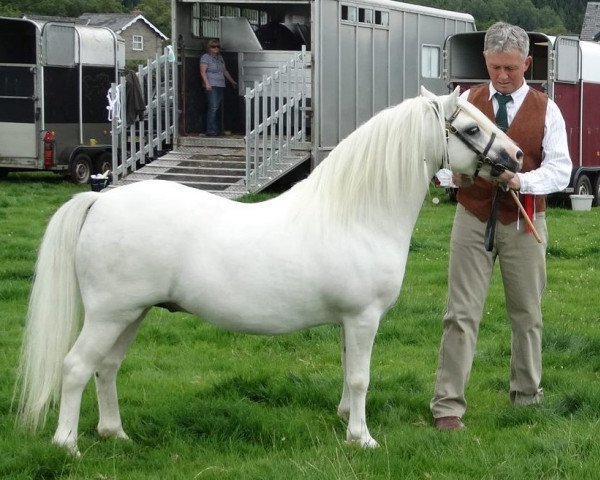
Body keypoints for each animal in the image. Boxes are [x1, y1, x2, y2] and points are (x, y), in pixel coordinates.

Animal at [12, 87, 520, 454]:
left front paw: (345, 420)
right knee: (77, 367)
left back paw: (114, 433)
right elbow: (360, 377)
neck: (355, 214)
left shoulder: (349, 322)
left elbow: (346, 372)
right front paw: (363, 439)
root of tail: (99, 200)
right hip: (109, 315)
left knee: (107, 368)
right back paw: (67, 445)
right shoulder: (363, 318)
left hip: (130, 315)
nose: (516, 158)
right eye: (471, 127)